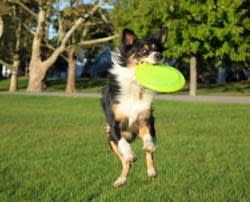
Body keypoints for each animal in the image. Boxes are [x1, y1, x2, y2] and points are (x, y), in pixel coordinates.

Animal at [100, 27, 167, 187]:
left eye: (157, 49)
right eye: (143, 51)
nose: (159, 56)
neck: (135, 83)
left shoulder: (146, 119)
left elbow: (149, 142)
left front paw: (148, 147)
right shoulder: (114, 124)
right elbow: (123, 145)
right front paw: (130, 154)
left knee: (149, 154)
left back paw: (152, 171)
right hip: (109, 137)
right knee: (125, 161)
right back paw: (121, 179)